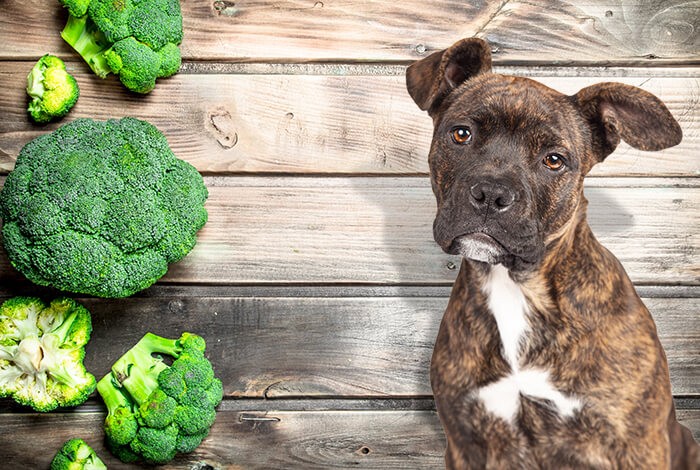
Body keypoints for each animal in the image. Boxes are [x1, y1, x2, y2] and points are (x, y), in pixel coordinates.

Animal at [404, 37, 700, 470]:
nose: (491, 194)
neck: (517, 286)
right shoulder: (464, 444)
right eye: (461, 134)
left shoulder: (637, 445)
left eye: (554, 160)